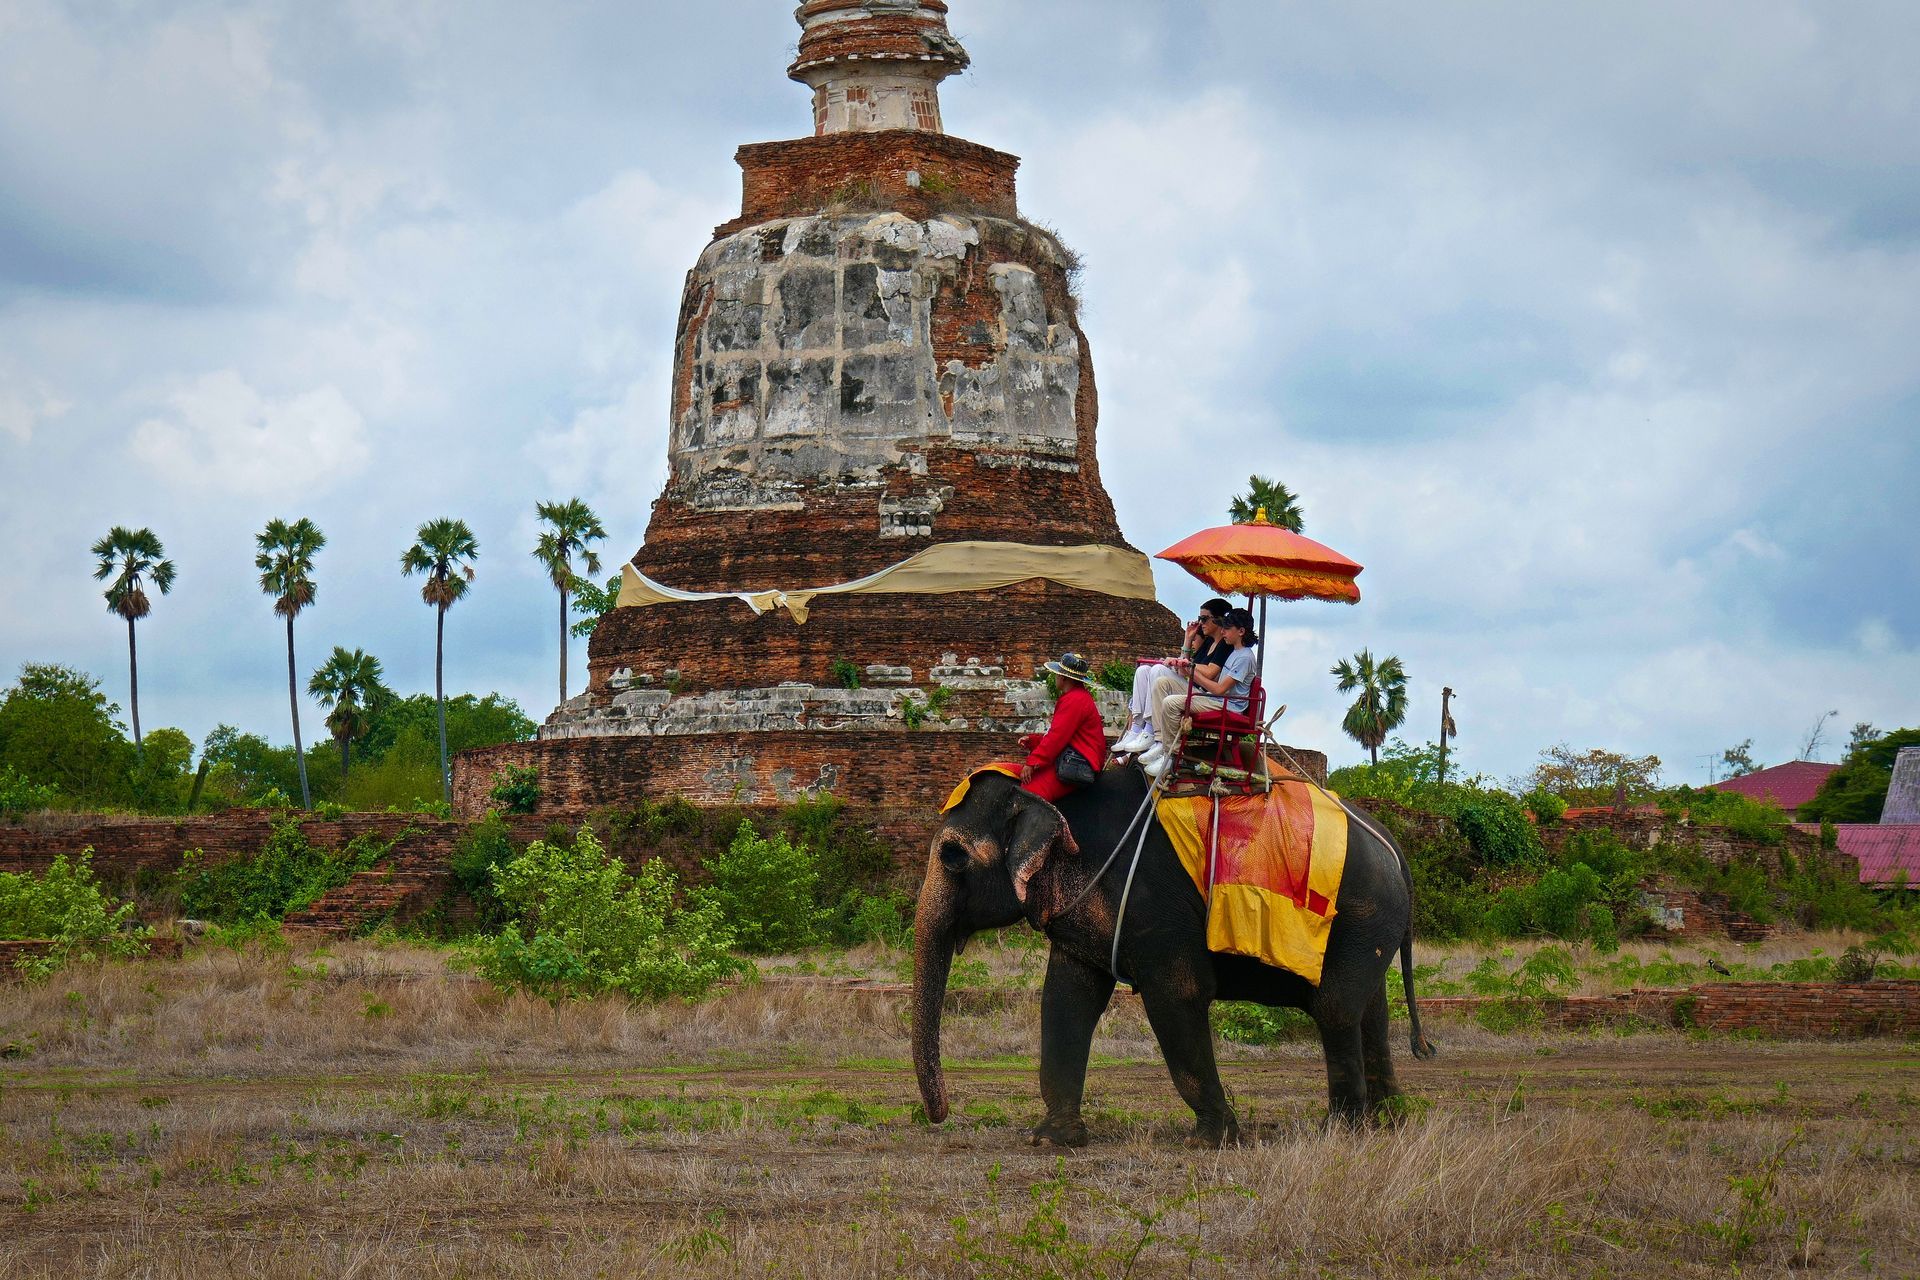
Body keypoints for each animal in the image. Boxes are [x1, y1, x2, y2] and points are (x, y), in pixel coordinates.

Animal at [913, 767, 1443, 1143]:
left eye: (953, 856)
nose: (939, 1115)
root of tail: (1393, 847)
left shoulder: (1155, 905)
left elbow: (1177, 995)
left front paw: (1211, 1140)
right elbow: (1066, 999)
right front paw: (1051, 1140)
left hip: (1361, 915)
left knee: (1334, 1010)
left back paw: (1339, 1131)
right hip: (1371, 928)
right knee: (1371, 1010)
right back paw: (1388, 1122)